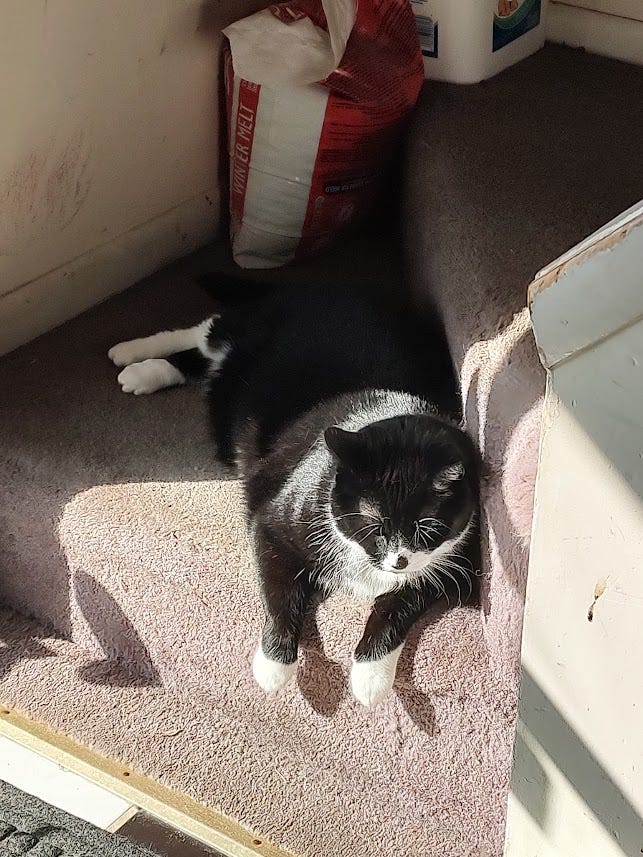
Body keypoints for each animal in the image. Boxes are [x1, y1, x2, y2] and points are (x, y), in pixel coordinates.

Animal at [108, 278, 478, 704]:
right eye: (371, 520)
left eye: (428, 526)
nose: (398, 560)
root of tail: (329, 287)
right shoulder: (272, 524)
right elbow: (279, 594)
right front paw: (274, 664)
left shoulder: (449, 567)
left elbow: (396, 609)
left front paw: (370, 676)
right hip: (250, 328)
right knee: (207, 329)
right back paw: (131, 357)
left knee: (205, 358)